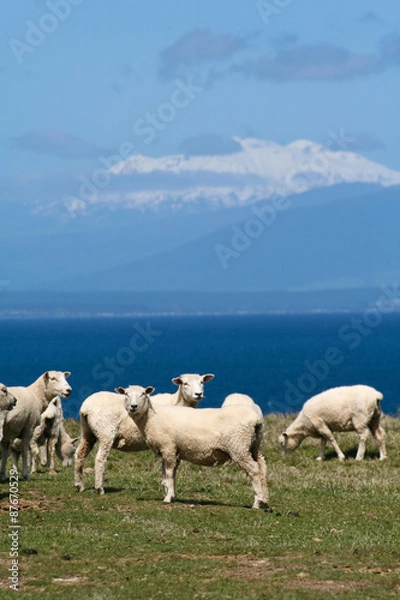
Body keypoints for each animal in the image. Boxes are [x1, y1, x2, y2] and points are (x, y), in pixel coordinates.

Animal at [73, 372, 214, 494]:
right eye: (185, 383)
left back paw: (79, 485)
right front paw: (167, 487)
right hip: (106, 432)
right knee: (100, 459)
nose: (198, 394)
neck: (178, 402)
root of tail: (85, 408)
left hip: (87, 432)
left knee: (80, 454)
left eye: (201, 382)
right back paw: (100, 488)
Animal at [117, 386, 270, 508]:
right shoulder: (171, 450)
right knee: (262, 468)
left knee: (253, 470)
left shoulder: (168, 447)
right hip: (255, 446)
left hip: (239, 446)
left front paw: (168, 497)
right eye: (126, 394)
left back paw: (257, 502)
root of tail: (256, 420)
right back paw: (265, 499)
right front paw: (171, 493)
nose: (133, 406)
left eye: (143, 393)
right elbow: (168, 475)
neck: (151, 417)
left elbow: (169, 473)